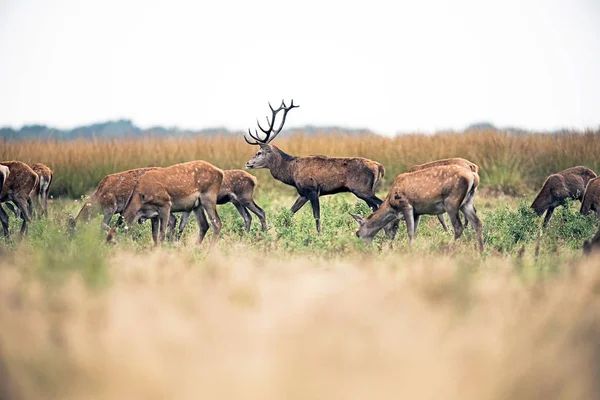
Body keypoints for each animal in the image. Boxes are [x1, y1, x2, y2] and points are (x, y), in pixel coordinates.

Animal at [244, 98, 384, 233]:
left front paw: (318, 234)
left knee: (381, 204)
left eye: (259, 152)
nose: (247, 163)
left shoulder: (312, 189)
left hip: (362, 189)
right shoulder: (303, 193)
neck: (292, 172)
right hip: (366, 190)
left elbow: (316, 216)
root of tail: (379, 167)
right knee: (375, 208)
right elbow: (290, 212)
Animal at [350, 164, 486, 252]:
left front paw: (410, 251)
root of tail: (474, 177)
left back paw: (450, 249)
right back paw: (481, 251)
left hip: (451, 202)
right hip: (466, 202)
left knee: (458, 227)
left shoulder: (406, 205)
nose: (360, 248)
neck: (391, 205)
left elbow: (410, 232)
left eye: (358, 234)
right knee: (477, 223)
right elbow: (414, 232)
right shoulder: (417, 212)